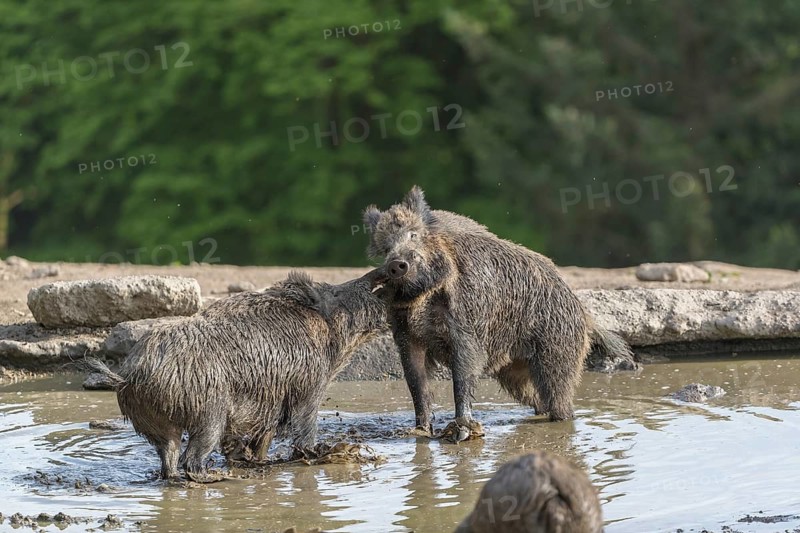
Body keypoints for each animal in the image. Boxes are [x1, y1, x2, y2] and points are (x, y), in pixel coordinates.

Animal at [87, 269, 387, 481]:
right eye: (335, 293)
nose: (382, 271)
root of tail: (130, 376)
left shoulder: (269, 406)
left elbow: (262, 440)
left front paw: (254, 460)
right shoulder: (308, 386)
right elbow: (304, 427)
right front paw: (311, 454)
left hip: (154, 421)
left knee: (168, 456)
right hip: (209, 411)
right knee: (192, 457)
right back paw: (215, 478)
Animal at [364, 186, 634, 437]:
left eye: (414, 235)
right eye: (385, 247)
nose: (397, 263)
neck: (422, 303)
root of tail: (584, 313)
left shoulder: (466, 328)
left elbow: (462, 376)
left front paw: (461, 432)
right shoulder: (407, 336)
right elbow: (416, 384)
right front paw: (418, 431)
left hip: (557, 350)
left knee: (561, 399)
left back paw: (560, 419)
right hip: (514, 373)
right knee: (538, 401)